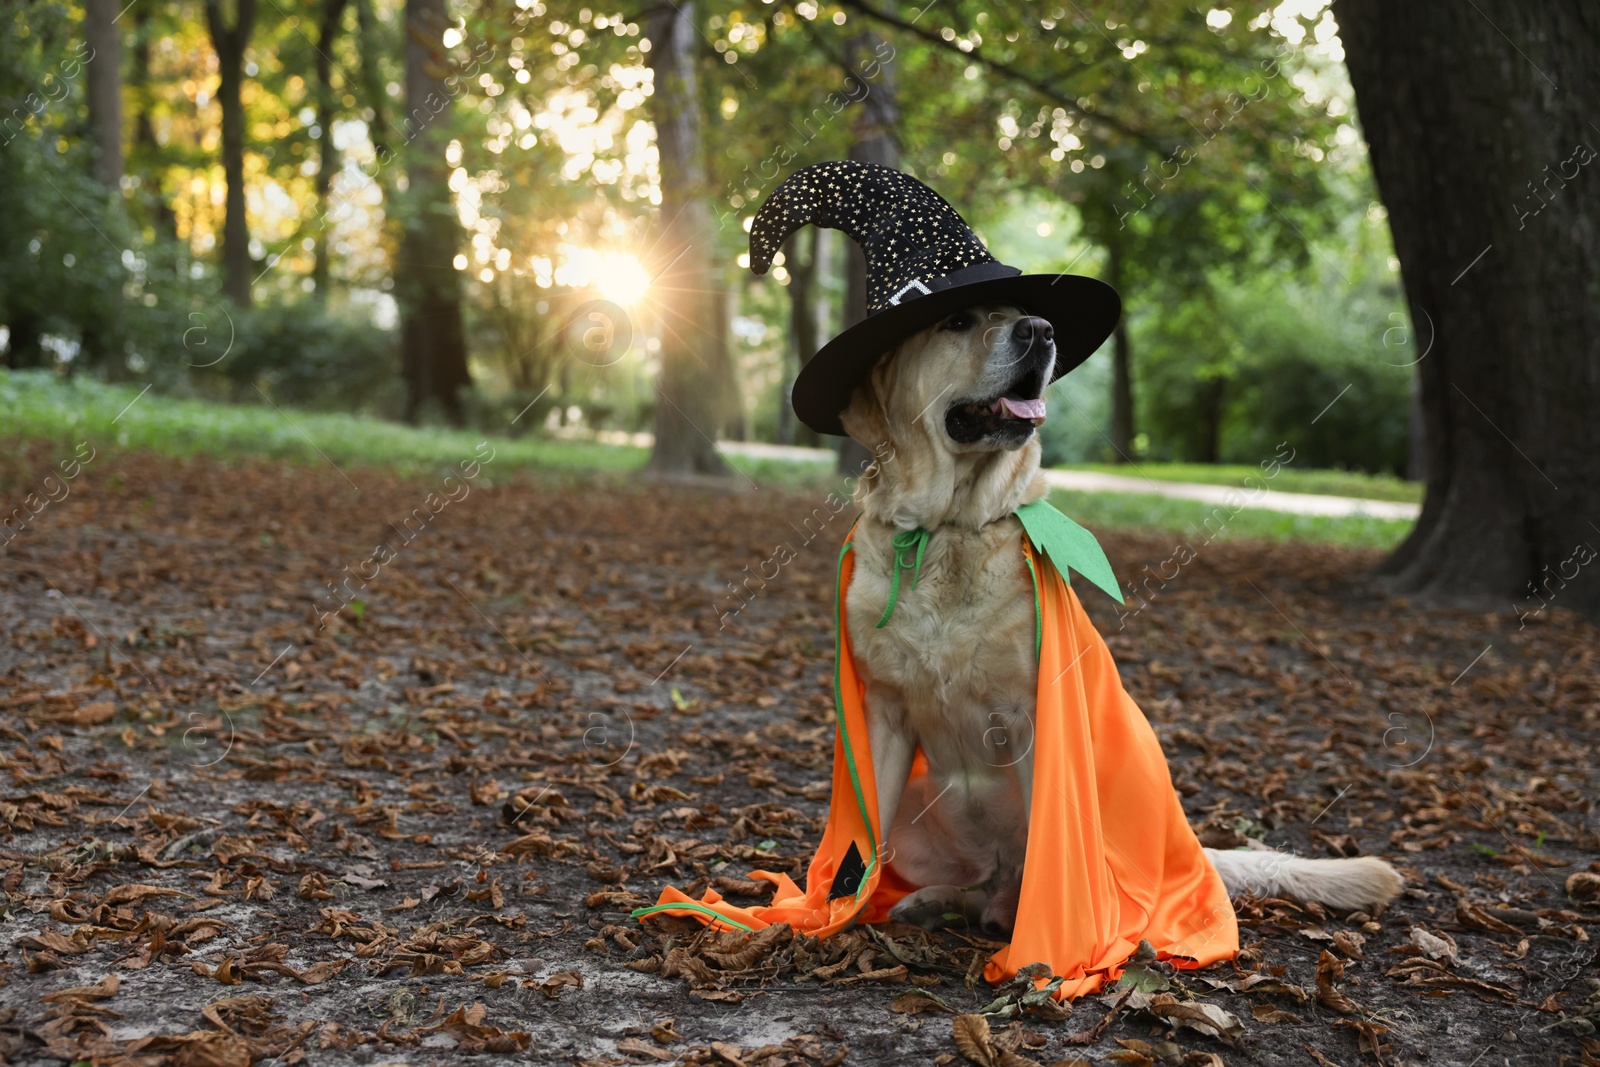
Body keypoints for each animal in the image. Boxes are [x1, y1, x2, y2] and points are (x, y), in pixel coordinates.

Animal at [838, 302, 1401, 934]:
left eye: (1020, 315)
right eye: (956, 322)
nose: (1040, 330)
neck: (949, 530)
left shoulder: (1030, 717)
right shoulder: (884, 712)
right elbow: (869, 834)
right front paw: (838, 918)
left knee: (1052, 888)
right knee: (984, 884)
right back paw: (941, 901)